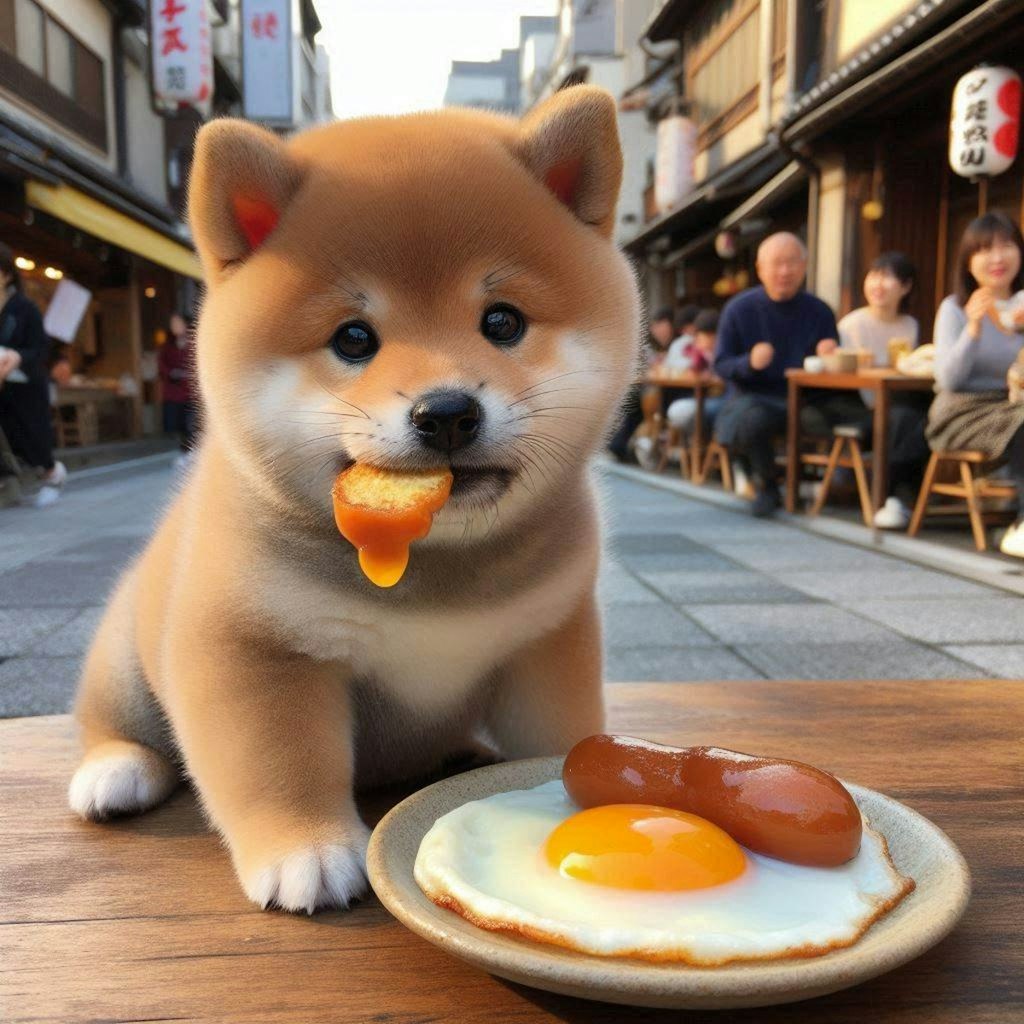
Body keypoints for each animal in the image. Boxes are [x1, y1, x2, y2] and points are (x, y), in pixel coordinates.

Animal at [68, 86, 638, 913]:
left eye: (502, 322)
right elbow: (279, 763)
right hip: (124, 657)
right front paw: (303, 850)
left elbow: (558, 734)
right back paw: (116, 771)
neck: (429, 562)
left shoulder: (547, 639)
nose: (447, 412)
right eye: (353, 339)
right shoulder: (254, 649)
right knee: (116, 726)